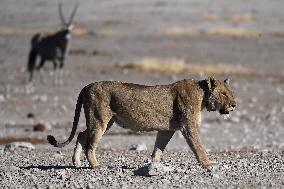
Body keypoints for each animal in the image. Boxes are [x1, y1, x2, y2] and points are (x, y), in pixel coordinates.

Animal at [47, 76, 236, 169]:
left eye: (231, 93)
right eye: (224, 93)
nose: (234, 105)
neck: (203, 95)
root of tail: (87, 86)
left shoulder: (167, 129)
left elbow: (158, 148)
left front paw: (154, 165)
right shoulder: (188, 126)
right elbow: (198, 146)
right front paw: (208, 164)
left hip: (106, 122)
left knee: (81, 134)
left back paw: (76, 162)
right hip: (99, 120)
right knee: (89, 145)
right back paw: (96, 166)